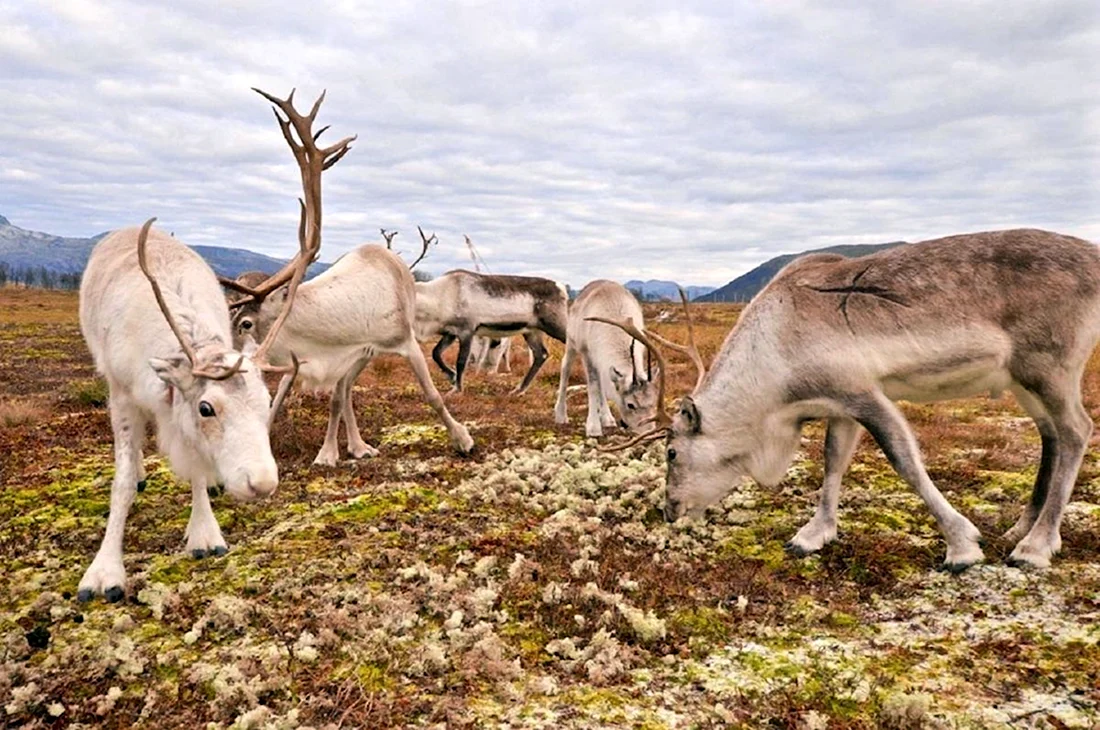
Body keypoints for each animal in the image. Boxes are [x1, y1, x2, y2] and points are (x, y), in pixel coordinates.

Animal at [74, 87, 351, 602]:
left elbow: (199, 472)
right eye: (207, 407)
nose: (262, 483)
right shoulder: (122, 392)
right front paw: (104, 572)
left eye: (265, 400)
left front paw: (204, 532)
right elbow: (120, 482)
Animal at [223, 229, 474, 465]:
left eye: (246, 323)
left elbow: (433, 395)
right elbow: (336, 400)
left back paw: (359, 446)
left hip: (365, 356)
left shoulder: (402, 343)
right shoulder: (340, 354)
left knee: (345, 391)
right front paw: (327, 453)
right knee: (296, 385)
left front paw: (463, 440)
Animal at [554, 279, 659, 437]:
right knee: (565, 367)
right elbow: (592, 387)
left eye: (654, 401)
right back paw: (560, 415)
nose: (650, 432)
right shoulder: (587, 353)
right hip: (571, 342)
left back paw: (607, 418)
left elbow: (600, 385)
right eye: (630, 404)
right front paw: (593, 427)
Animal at [594, 229, 1100, 572]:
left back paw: (1035, 546)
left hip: (1050, 365)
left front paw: (961, 545)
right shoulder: (839, 405)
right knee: (1051, 435)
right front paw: (814, 534)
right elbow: (833, 460)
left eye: (671, 451)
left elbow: (905, 461)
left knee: (1077, 430)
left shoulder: (863, 391)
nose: (669, 510)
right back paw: (1022, 527)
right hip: (1022, 379)